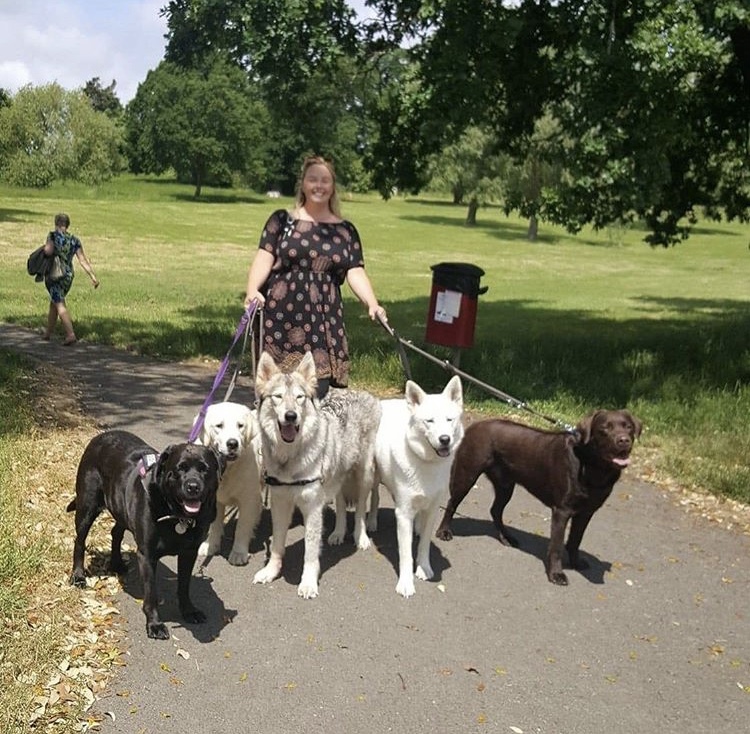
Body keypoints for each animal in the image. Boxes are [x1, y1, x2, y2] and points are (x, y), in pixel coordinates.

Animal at [68, 432, 223, 640]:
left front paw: (189, 610)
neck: (177, 516)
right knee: (79, 540)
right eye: (180, 468)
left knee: (116, 532)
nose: (193, 486)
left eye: (204, 469)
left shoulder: (189, 553)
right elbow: (151, 594)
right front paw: (155, 624)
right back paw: (78, 576)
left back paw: (117, 563)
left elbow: (184, 585)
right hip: (87, 504)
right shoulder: (147, 556)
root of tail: (101, 436)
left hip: (121, 508)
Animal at [438, 414, 644, 588]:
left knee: (495, 510)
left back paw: (506, 537)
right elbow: (556, 546)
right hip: (467, 474)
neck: (593, 466)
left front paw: (575, 562)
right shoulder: (562, 511)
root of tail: (476, 425)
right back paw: (444, 531)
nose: (624, 440)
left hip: (505, 485)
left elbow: (576, 540)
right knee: (451, 503)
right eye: (605, 428)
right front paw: (557, 574)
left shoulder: (586, 512)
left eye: (629, 427)